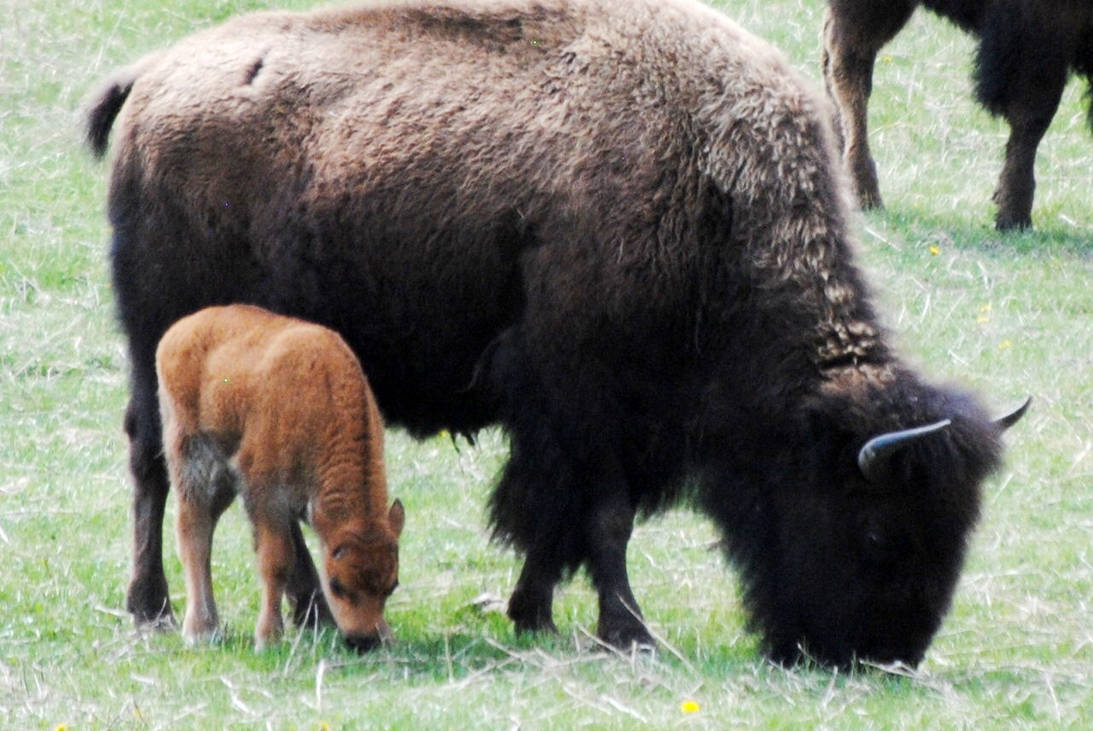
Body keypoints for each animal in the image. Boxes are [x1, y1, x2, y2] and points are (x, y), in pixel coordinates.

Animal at [86, 0, 1025, 666]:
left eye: (958, 530)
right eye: (873, 529)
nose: (882, 654)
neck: (709, 193)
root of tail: (149, 80)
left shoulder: (579, 425)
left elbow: (556, 523)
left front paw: (531, 611)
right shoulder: (585, 403)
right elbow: (601, 520)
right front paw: (628, 630)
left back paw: (301, 611)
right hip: (159, 348)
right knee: (155, 465)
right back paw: (154, 605)